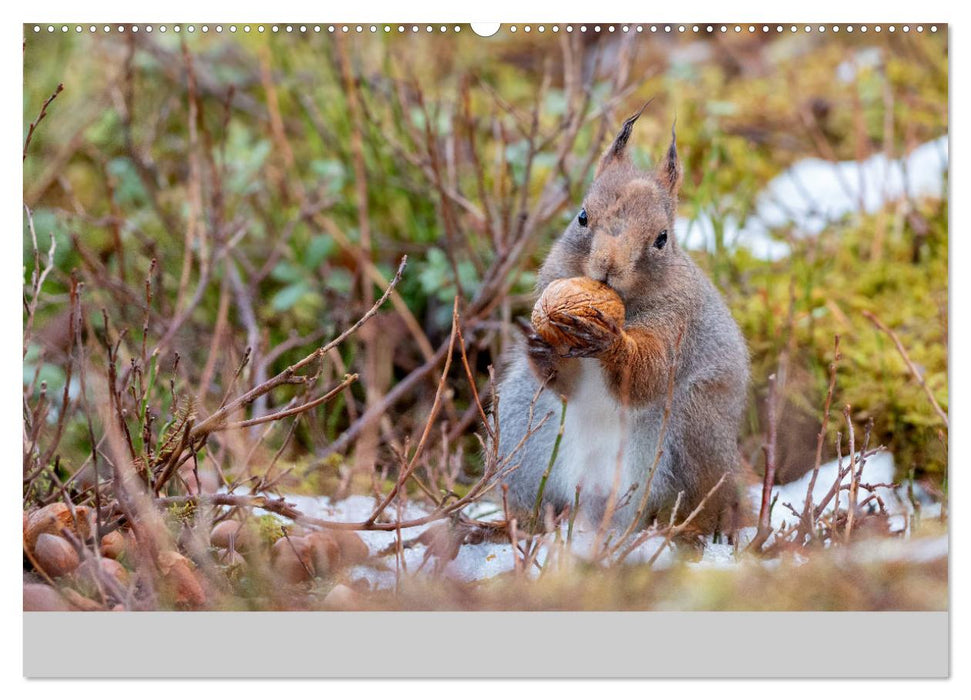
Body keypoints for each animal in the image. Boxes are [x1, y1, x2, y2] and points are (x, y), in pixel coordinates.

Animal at [494, 108, 752, 536]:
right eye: (582, 217)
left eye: (662, 238)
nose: (607, 266)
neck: (623, 307)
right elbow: (566, 384)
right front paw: (540, 345)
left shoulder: (677, 323)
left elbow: (647, 374)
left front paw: (614, 343)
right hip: (522, 435)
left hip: (692, 434)